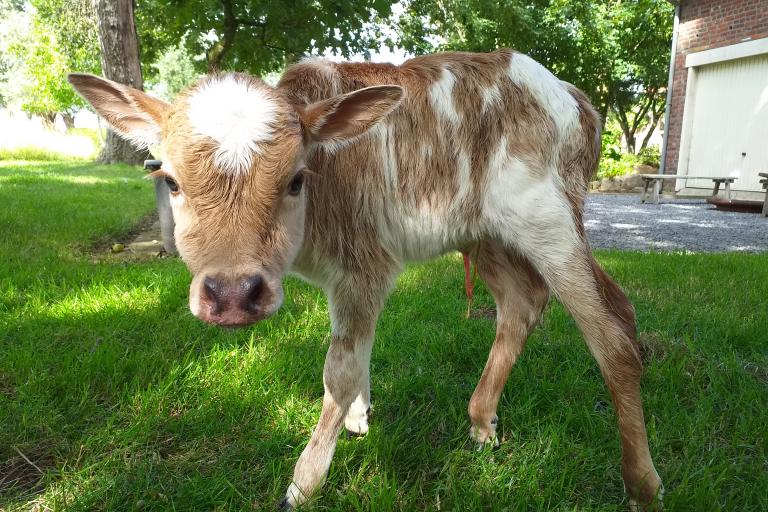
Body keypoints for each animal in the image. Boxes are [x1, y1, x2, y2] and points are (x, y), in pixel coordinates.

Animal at [69, 48, 664, 508]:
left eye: (296, 178)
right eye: (169, 180)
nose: (234, 295)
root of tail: (573, 97)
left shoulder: (366, 263)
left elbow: (339, 369)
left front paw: (304, 483)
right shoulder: (346, 277)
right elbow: (357, 353)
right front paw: (358, 417)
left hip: (550, 218)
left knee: (614, 329)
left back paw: (642, 485)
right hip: (484, 232)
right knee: (524, 301)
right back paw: (481, 422)